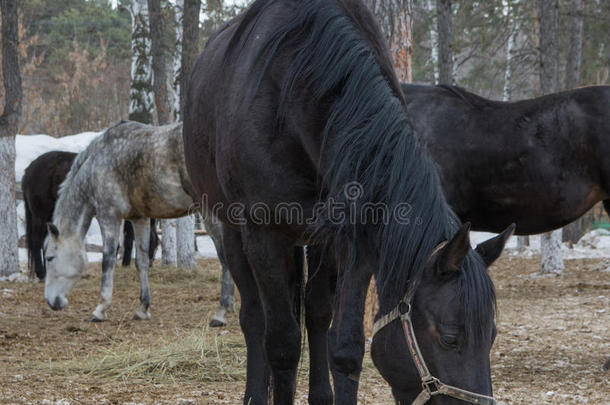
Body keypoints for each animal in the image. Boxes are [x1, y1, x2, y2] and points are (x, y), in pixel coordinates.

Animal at [44, 120, 233, 322]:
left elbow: (108, 260)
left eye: (50, 257)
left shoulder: (109, 215)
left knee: (225, 256)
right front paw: (143, 307)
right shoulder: (139, 218)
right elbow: (141, 261)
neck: (98, 162)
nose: (51, 302)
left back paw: (221, 311)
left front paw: (100, 309)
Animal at [180, 1, 508, 402]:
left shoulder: (355, 239)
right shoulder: (264, 235)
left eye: (492, 336)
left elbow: (346, 346)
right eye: (450, 338)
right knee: (255, 319)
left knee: (315, 311)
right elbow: (283, 345)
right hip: (233, 232)